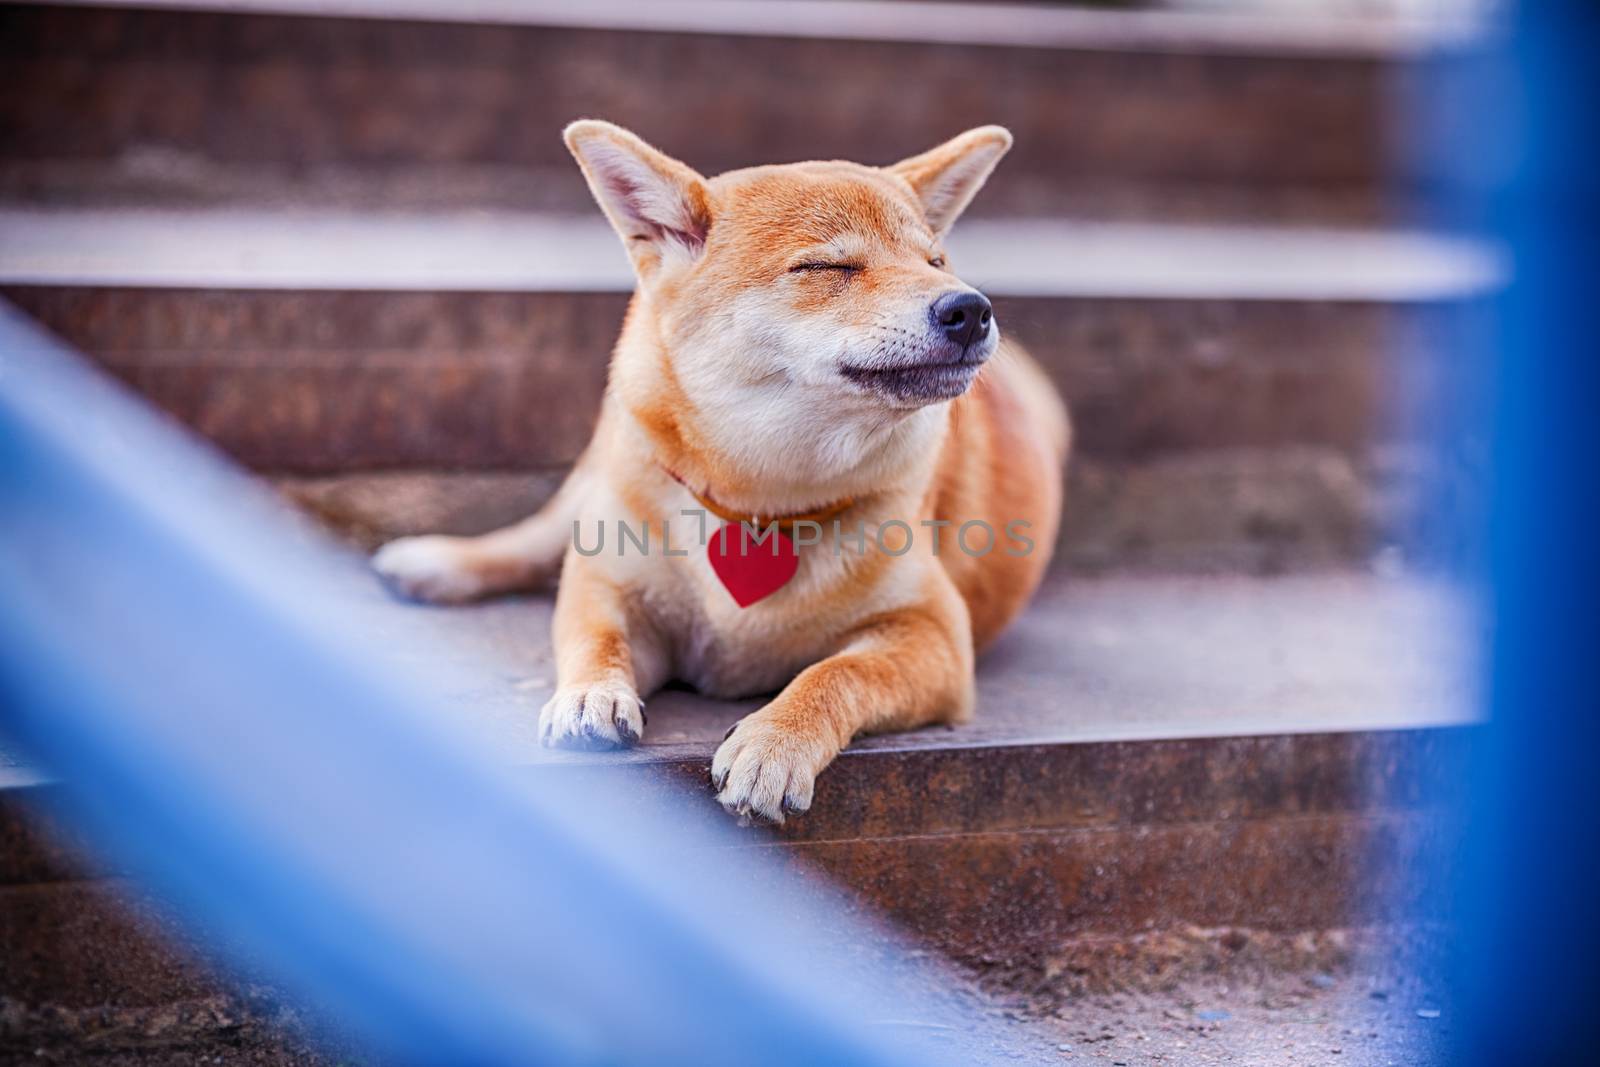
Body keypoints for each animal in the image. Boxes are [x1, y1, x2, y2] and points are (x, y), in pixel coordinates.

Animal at [372, 123, 1068, 825]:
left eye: (936, 263)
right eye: (827, 267)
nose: (970, 308)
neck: (760, 501)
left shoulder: (935, 637)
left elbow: (833, 674)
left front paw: (775, 742)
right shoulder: (612, 588)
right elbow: (594, 635)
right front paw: (589, 694)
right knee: (539, 537)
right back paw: (441, 562)